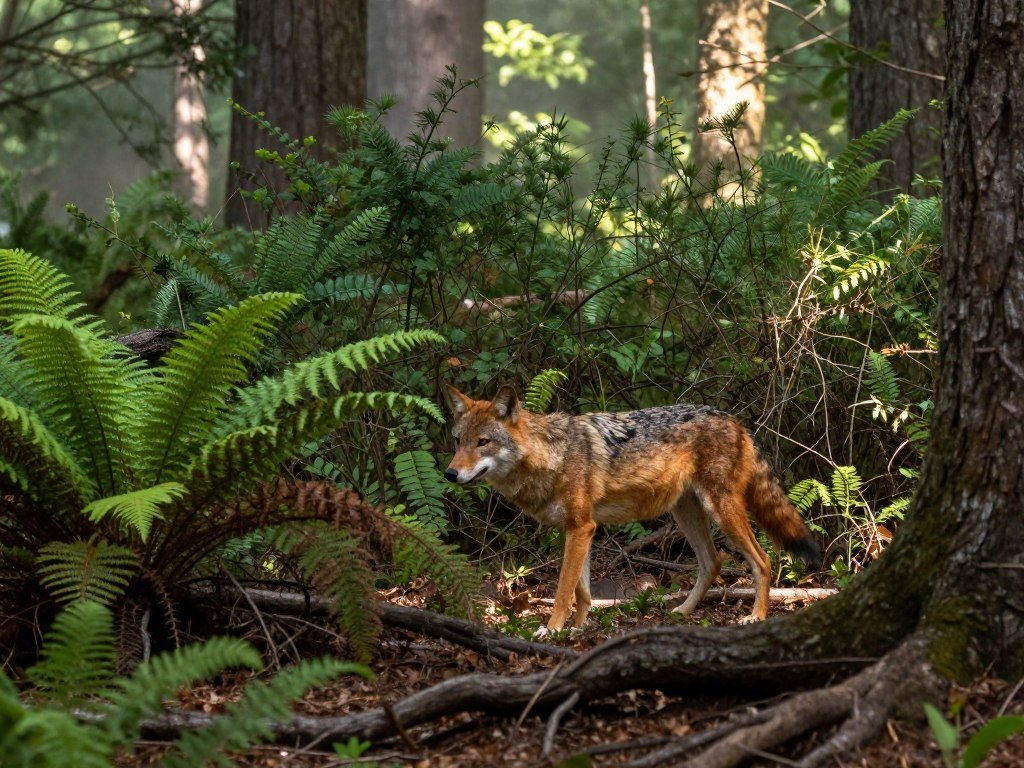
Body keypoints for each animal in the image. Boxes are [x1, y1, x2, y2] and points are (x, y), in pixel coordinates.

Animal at [443, 385, 820, 634]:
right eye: (459, 441)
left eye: (483, 442)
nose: (449, 474)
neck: (553, 456)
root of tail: (735, 420)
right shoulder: (581, 528)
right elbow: (582, 591)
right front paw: (577, 628)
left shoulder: (581, 528)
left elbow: (563, 590)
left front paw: (552, 629)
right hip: (686, 513)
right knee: (713, 562)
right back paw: (682, 611)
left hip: (722, 512)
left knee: (762, 560)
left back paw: (757, 616)